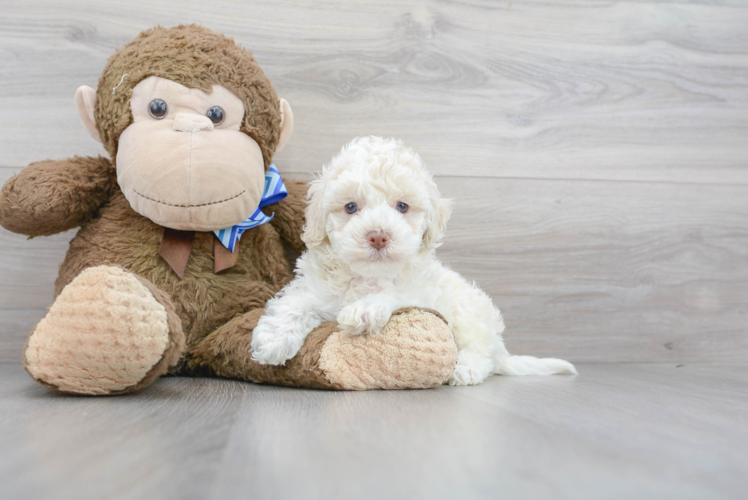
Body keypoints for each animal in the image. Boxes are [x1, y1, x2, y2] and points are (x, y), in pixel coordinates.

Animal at [253, 135, 580, 384]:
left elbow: (394, 296)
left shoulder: (419, 295)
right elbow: (295, 302)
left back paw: (467, 369)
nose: (378, 236)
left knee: (481, 352)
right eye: (350, 207)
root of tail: (502, 351)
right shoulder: (316, 288)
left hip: (471, 313)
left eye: (402, 206)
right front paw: (272, 340)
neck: (368, 276)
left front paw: (364, 310)